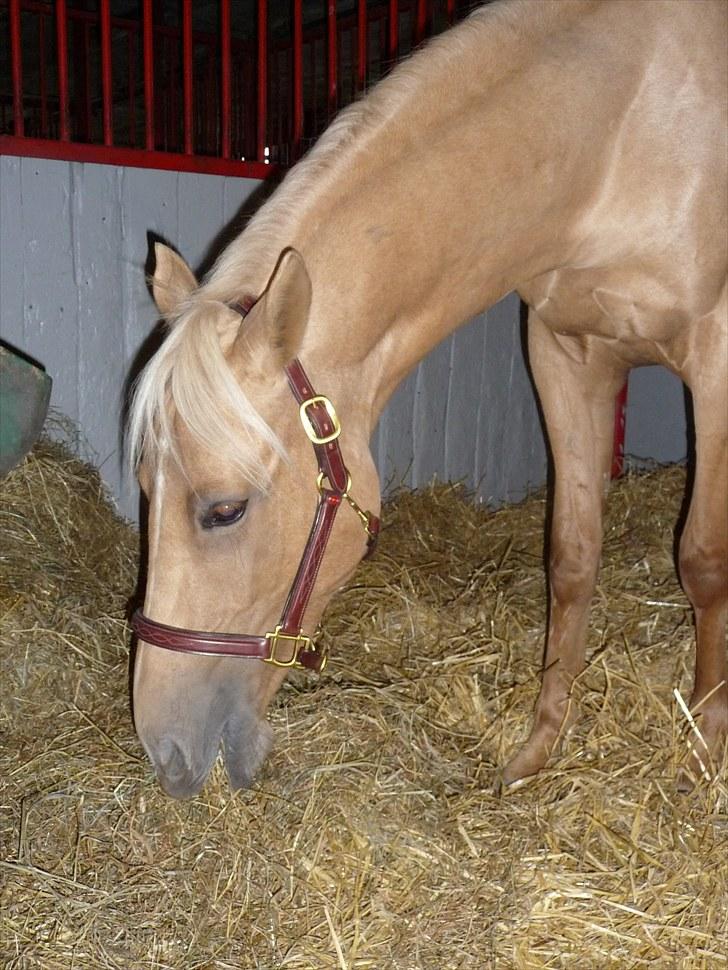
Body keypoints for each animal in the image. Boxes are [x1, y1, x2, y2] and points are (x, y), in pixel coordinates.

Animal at [128, 0, 724, 796]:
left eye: (225, 510)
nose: (165, 752)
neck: (618, 136)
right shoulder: (565, 353)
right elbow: (572, 558)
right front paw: (537, 754)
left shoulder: (717, 356)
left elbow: (704, 561)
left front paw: (703, 753)